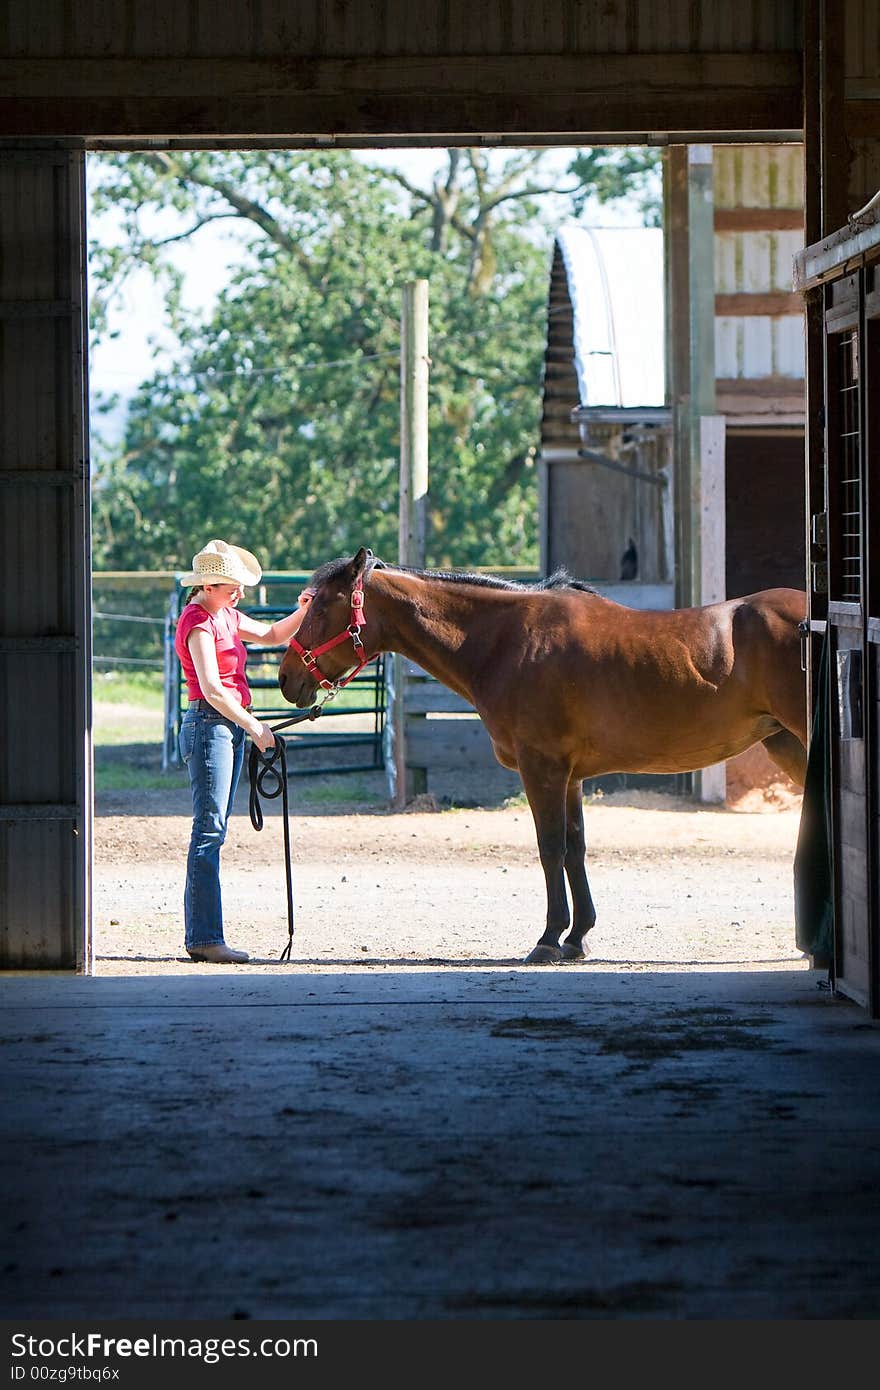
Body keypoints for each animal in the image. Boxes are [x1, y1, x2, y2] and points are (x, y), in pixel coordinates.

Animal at [278, 547, 806, 961]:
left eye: (320, 609)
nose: (286, 679)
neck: (509, 641)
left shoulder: (542, 768)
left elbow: (550, 847)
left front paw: (550, 938)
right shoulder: (569, 776)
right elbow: (575, 847)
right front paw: (578, 937)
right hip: (786, 743)